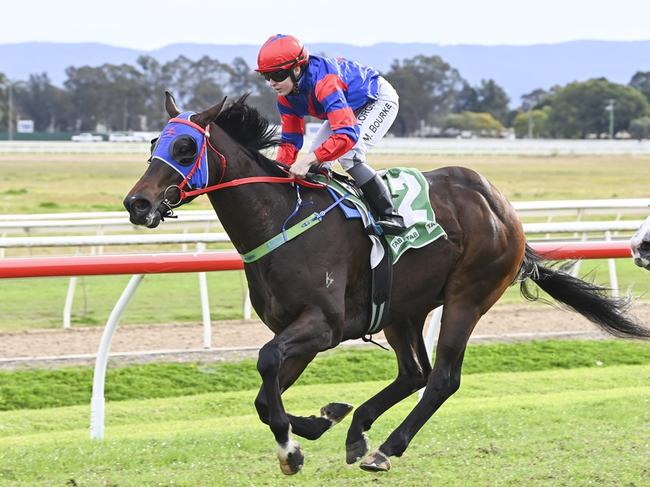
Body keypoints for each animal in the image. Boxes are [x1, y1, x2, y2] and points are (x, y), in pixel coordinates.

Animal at [123, 93, 648, 474]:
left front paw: (292, 449)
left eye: (186, 148)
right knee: (413, 372)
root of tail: (500, 205)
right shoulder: (298, 329)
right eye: (152, 145)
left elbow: (266, 364)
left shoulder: (323, 325)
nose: (137, 204)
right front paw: (319, 421)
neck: (282, 220)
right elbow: (263, 396)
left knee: (442, 378)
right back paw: (358, 431)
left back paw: (385, 448)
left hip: (468, 295)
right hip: (402, 308)